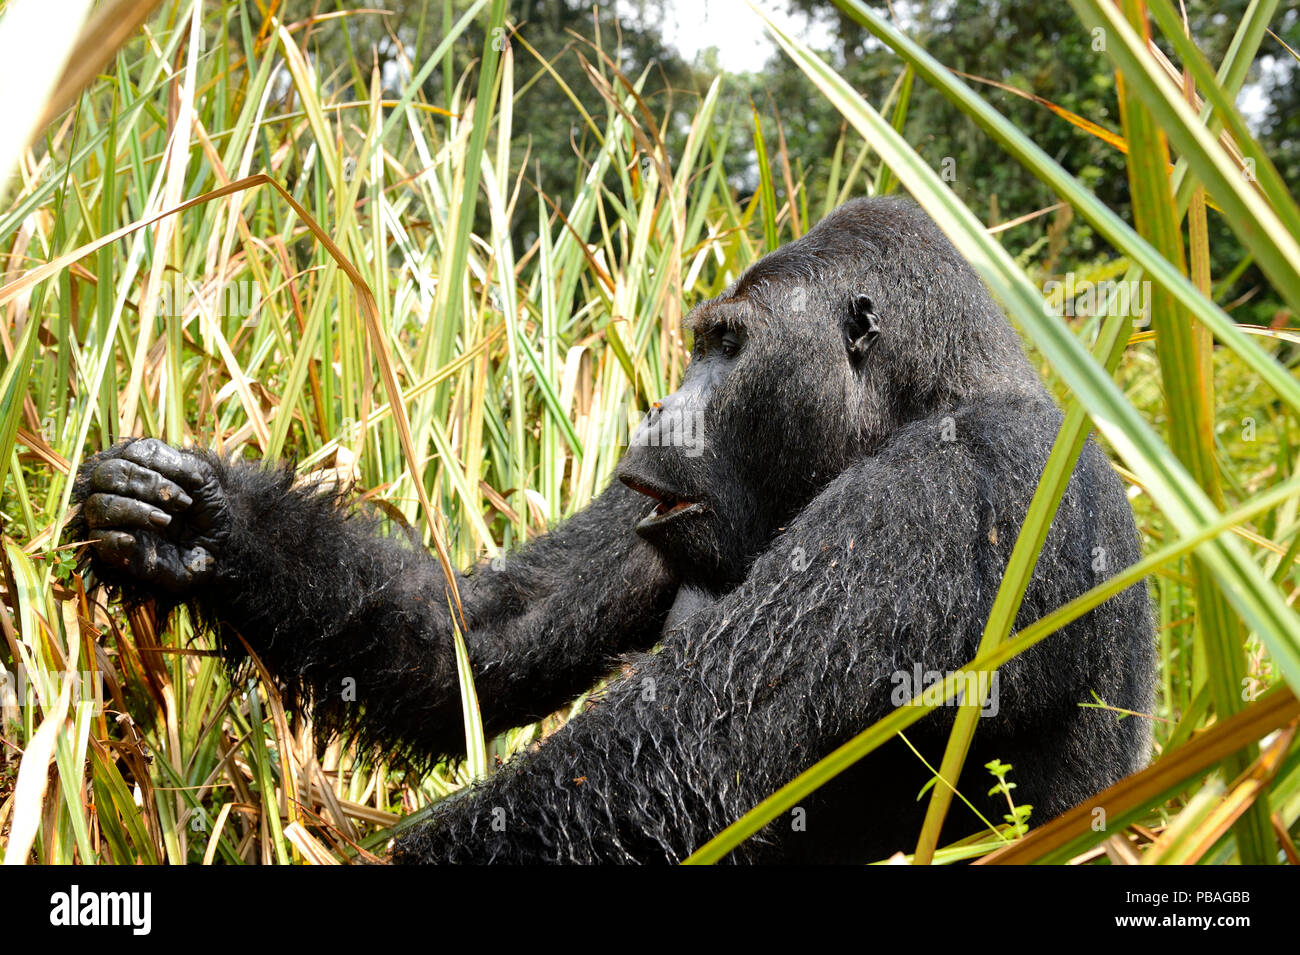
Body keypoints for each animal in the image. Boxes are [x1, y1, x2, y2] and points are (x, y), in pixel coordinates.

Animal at [71, 197, 1154, 862]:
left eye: (728, 347)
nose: (661, 412)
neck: (933, 394)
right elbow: (479, 633)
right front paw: (209, 525)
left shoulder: (947, 486)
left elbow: (673, 761)